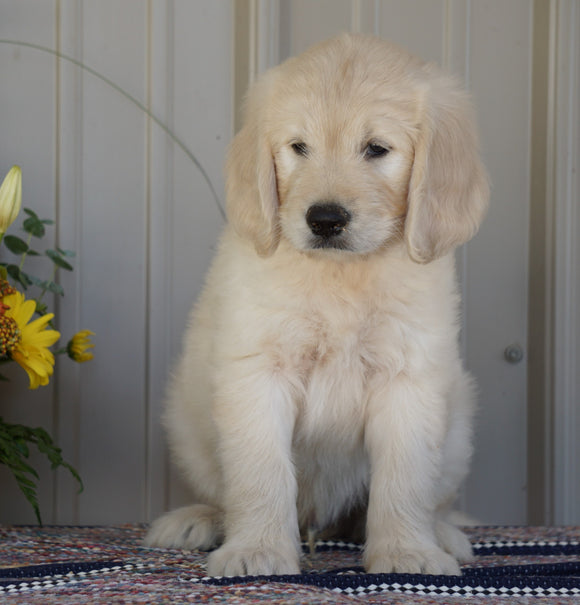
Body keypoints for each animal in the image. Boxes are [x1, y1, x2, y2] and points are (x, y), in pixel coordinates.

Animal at [144, 33, 484, 576]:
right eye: (299, 147)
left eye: (376, 149)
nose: (324, 219)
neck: (340, 274)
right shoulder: (258, 370)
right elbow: (260, 471)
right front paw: (257, 550)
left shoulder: (409, 376)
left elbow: (405, 477)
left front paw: (406, 552)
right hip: (187, 422)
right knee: (223, 492)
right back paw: (199, 520)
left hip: (457, 427)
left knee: (424, 499)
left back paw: (442, 534)